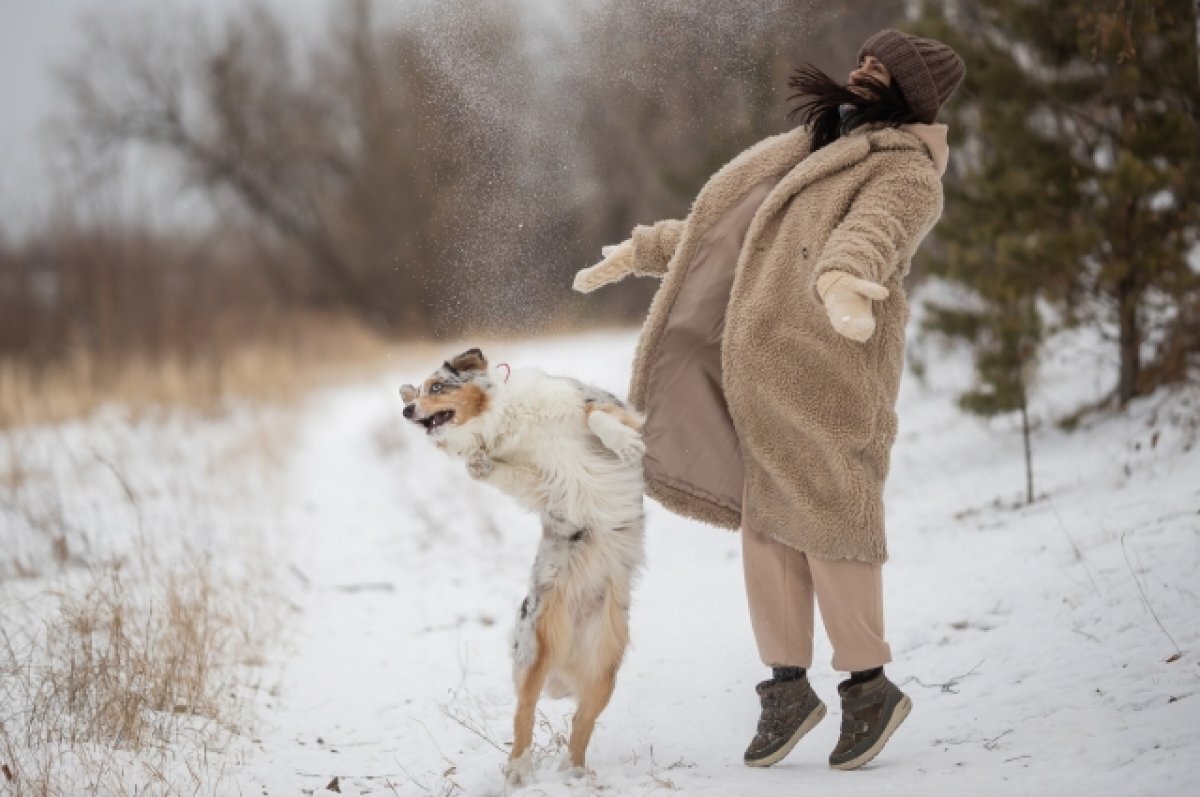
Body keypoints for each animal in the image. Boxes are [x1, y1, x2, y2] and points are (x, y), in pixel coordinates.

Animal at [400, 350, 648, 792]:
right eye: (418, 393)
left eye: (437, 387)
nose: (407, 410)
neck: (502, 419)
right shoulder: (538, 484)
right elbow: (495, 470)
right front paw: (476, 462)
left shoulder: (597, 404)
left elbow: (598, 419)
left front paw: (625, 444)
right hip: (536, 647)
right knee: (525, 714)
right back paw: (519, 771)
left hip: (604, 669)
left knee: (581, 725)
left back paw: (574, 775)